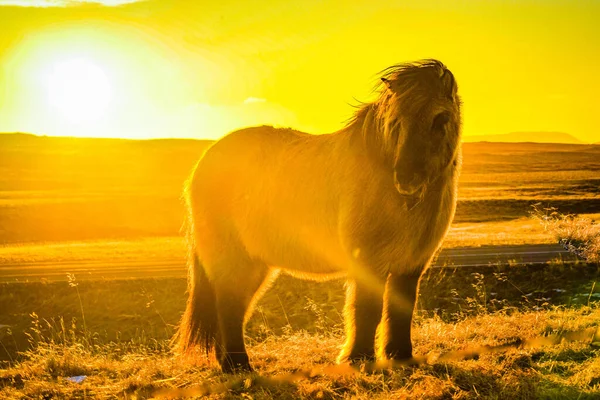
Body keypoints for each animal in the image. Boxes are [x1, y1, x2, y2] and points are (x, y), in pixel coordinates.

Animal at [176, 59, 462, 372]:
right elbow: (366, 309)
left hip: (255, 264)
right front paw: (357, 358)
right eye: (395, 122)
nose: (407, 181)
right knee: (229, 306)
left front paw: (399, 355)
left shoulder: (411, 264)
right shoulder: (369, 262)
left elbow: (401, 310)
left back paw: (230, 364)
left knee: (236, 307)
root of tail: (205, 161)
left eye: (440, 119)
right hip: (232, 259)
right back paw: (238, 365)